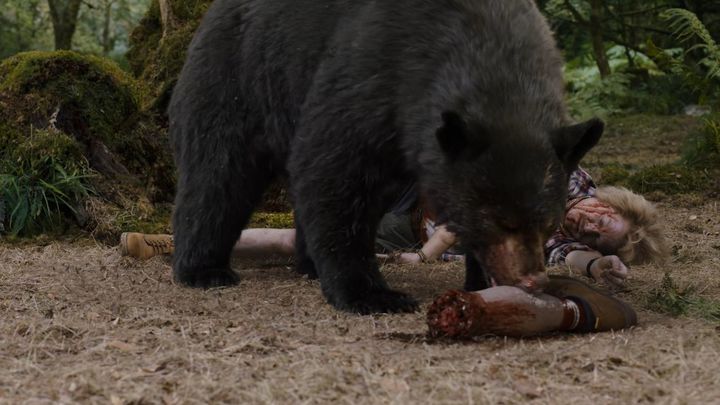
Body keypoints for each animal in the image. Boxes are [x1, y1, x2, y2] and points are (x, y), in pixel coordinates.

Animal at [168, 0, 603, 314]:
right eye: (500, 221)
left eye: (548, 223)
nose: (533, 281)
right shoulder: (375, 75)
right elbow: (335, 174)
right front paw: (371, 294)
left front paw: (480, 282)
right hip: (238, 75)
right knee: (219, 173)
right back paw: (203, 269)